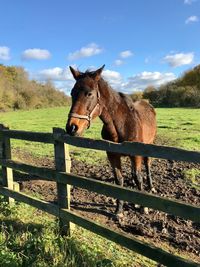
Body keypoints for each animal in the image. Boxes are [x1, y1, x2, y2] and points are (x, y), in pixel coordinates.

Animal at [66, 65, 157, 218]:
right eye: (72, 93)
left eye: (89, 94)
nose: (72, 127)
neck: (122, 124)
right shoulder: (112, 154)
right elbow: (119, 179)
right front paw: (119, 210)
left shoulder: (136, 154)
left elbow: (139, 177)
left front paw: (143, 207)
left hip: (149, 145)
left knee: (147, 164)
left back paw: (151, 187)